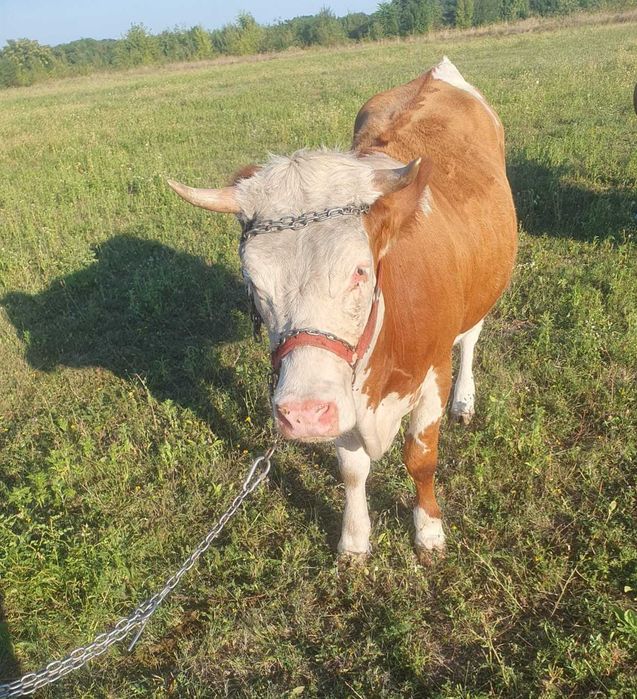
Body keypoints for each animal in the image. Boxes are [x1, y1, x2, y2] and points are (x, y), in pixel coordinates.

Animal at [168, 57, 518, 561]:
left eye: (360, 271)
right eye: (252, 282)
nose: (304, 413)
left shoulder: (432, 372)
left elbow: (421, 457)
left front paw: (429, 529)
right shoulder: (339, 390)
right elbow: (351, 469)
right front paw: (354, 540)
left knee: (470, 338)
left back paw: (465, 401)